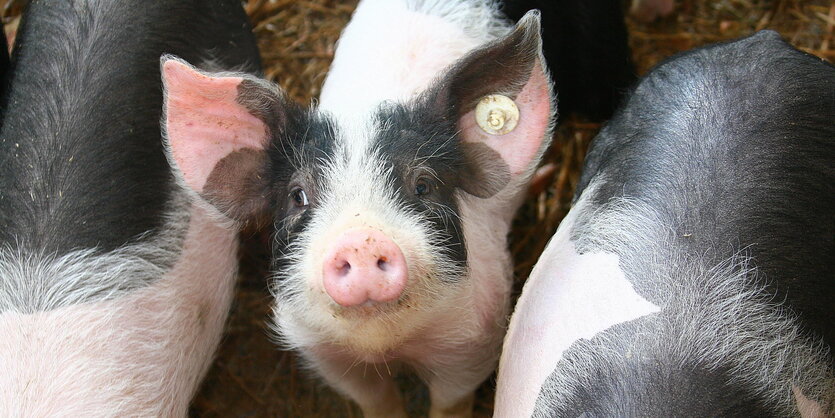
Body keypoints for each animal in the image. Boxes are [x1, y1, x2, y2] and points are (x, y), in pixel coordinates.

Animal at [161, 0, 560, 414]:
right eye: (298, 195)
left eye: (423, 185)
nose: (361, 242)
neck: (385, 345)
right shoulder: (325, 352)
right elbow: (376, 400)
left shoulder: (473, 340)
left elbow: (451, 401)